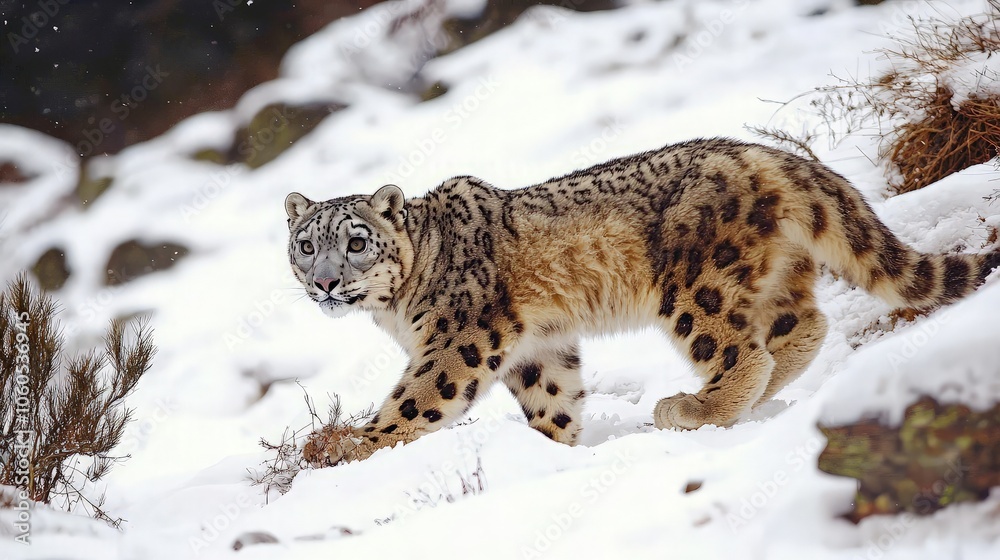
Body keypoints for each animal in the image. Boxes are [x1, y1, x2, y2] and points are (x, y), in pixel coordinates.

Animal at [284, 137, 1000, 465]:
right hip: (774, 275)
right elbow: (554, 400)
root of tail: (761, 153)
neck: (395, 311)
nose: (323, 283)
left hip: (696, 286)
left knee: (745, 351)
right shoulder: (539, 346)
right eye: (305, 245)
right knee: (801, 329)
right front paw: (554, 451)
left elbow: (419, 398)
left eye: (355, 242)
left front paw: (346, 450)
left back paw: (690, 407)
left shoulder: (460, 335)